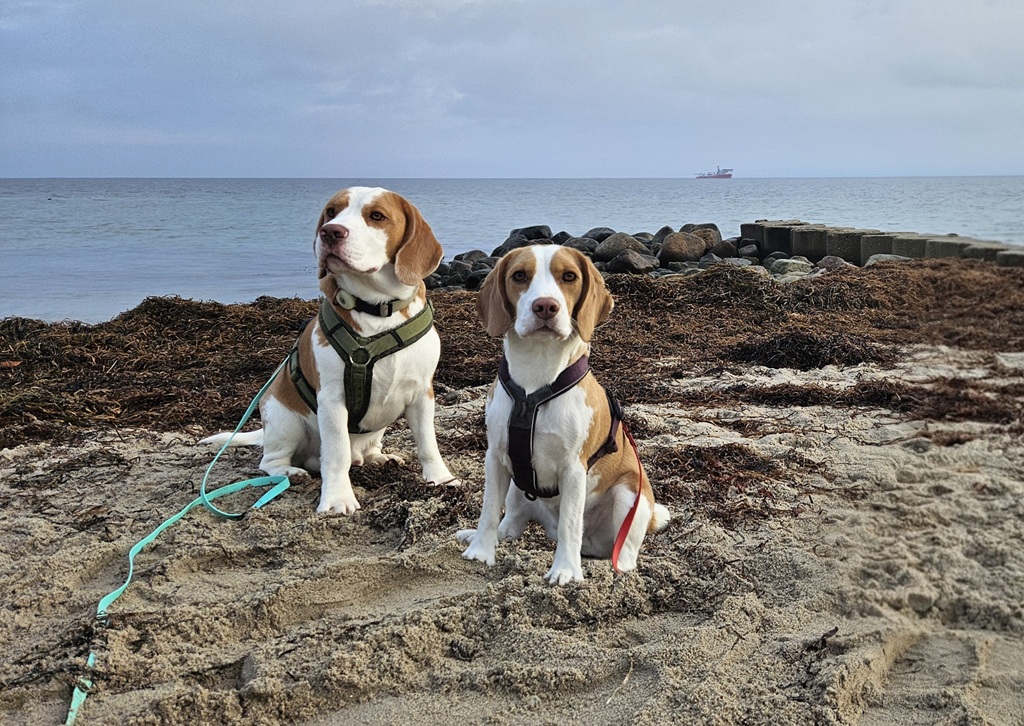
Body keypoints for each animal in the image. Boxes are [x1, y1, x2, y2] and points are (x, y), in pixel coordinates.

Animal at [201, 187, 458, 514]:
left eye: (377, 216)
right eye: (331, 212)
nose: (330, 232)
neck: (377, 309)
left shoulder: (422, 393)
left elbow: (428, 444)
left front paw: (440, 478)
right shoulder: (333, 401)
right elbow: (336, 454)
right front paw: (337, 498)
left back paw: (376, 457)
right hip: (285, 422)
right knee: (271, 461)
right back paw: (291, 472)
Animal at [456, 244, 670, 584]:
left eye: (569, 276)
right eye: (519, 276)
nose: (545, 306)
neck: (536, 379)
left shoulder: (573, 468)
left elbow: (571, 522)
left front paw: (565, 569)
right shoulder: (496, 457)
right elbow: (489, 509)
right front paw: (480, 550)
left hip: (629, 494)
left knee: (619, 549)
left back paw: (612, 566)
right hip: (517, 488)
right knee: (511, 524)